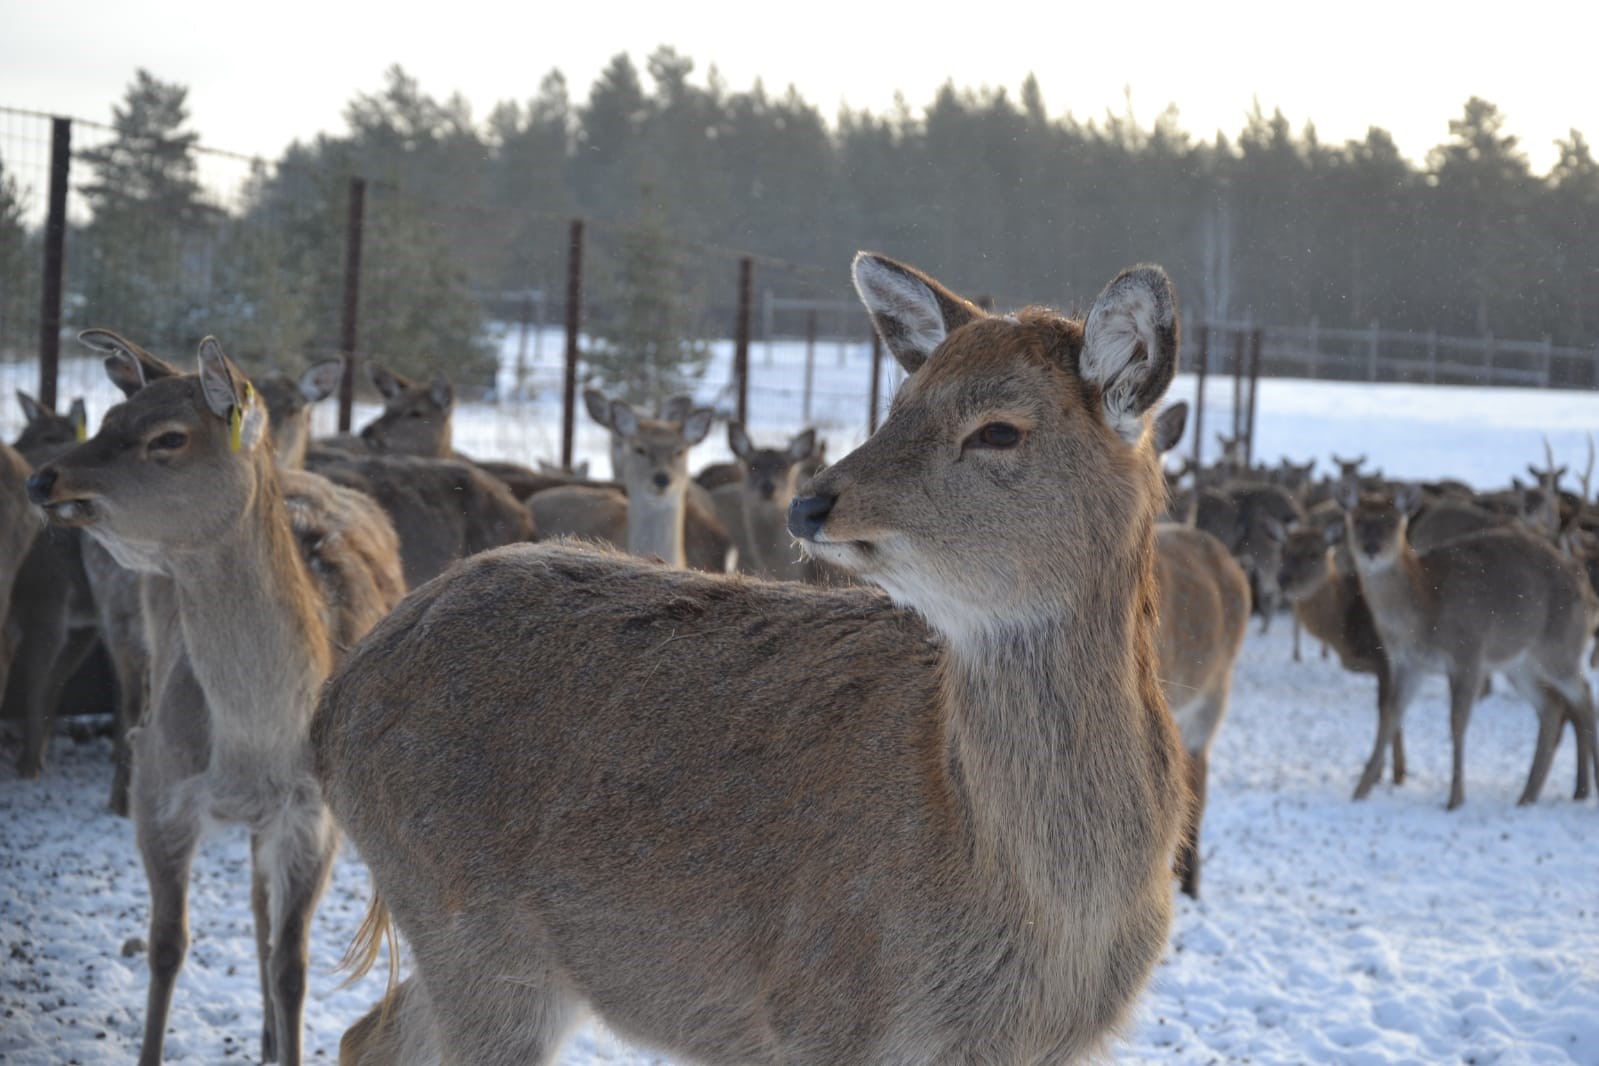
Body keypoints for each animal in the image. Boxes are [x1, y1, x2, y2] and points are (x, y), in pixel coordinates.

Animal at [28, 334, 406, 1066]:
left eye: (168, 437)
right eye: (110, 418)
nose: (41, 480)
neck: (255, 744)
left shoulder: (314, 815)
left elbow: (293, 966)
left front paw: (287, 1035)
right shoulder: (160, 784)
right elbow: (166, 946)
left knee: (263, 909)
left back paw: (267, 1033)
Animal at [315, 252, 1189, 1066]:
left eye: (999, 429)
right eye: (898, 405)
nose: (809, 501)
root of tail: (336, 700)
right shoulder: (818, 1006)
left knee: (368, 1031)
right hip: (469, 926)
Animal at [1336, 482, 1599, 808]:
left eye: (1392, 521)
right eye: (1357, 520)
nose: (1371, 548)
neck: (1424, 605)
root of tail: (1587, 588)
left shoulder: (1469, 653)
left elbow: (1457, 721)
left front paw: (1455, 799)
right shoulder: (1408, 663)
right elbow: (1390, 714)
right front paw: (1360, 791)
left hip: (1560, 648)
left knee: (1585, 698)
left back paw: (1580, 788)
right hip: (1520, 664)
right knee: (1552, 707)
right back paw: (1529, 795)